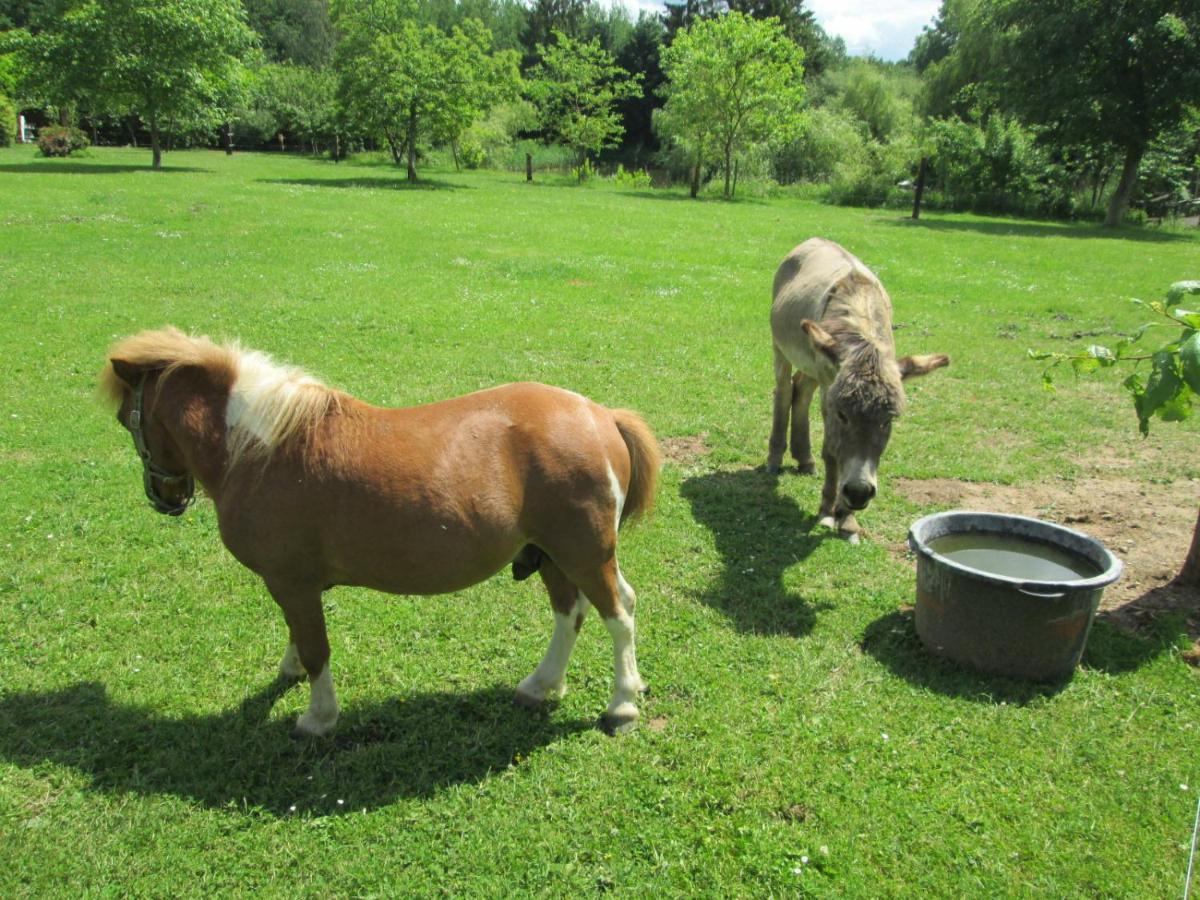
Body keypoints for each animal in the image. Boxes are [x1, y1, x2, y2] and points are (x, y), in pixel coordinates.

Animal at [100, 328, 667, 734]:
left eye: (129, 420)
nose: (165, 497)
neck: (262, 449)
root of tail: (600, 415)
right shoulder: (291, 584)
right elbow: (297, 634)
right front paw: (291, 672)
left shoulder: (292, 581)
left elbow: (316, 648)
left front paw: (318, 717)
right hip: (551, 553)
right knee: (571, 613)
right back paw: (541, 685)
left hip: (585, 552)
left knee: (618, 615)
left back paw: (621, 705)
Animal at [768, 236, 945, 540]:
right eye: (842, 415)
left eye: (888, 421)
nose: (858, 492)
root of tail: (814, 239)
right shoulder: (830, 392)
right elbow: (832, 451)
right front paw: (828, 512)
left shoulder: (829, 378)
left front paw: (848, 520)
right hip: (783, 349)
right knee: (783, 391)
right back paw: (774, 459)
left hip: (814, 364)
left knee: (800, 391)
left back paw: (805, 459)